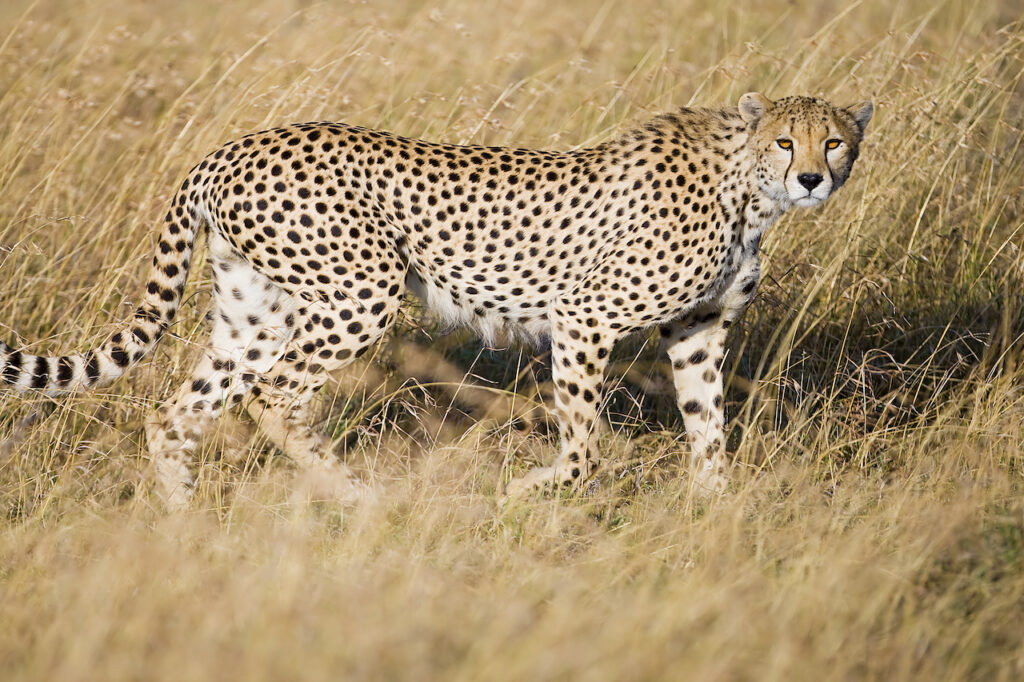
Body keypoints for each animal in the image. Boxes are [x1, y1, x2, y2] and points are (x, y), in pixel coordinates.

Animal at [0, 92, 873, 509]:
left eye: (834, 140)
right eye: (786, 140)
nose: (812, 177)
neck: (748, 190)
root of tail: (229, 147)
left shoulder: (696, 330)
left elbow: (708, 427)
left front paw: (715, 510)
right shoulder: (584, 317)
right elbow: (586, 442)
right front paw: (530, 492)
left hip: (256, 310)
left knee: (177, 414)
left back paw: (185, 530)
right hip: (361, 290)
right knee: (275, 398)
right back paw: (359, 498)